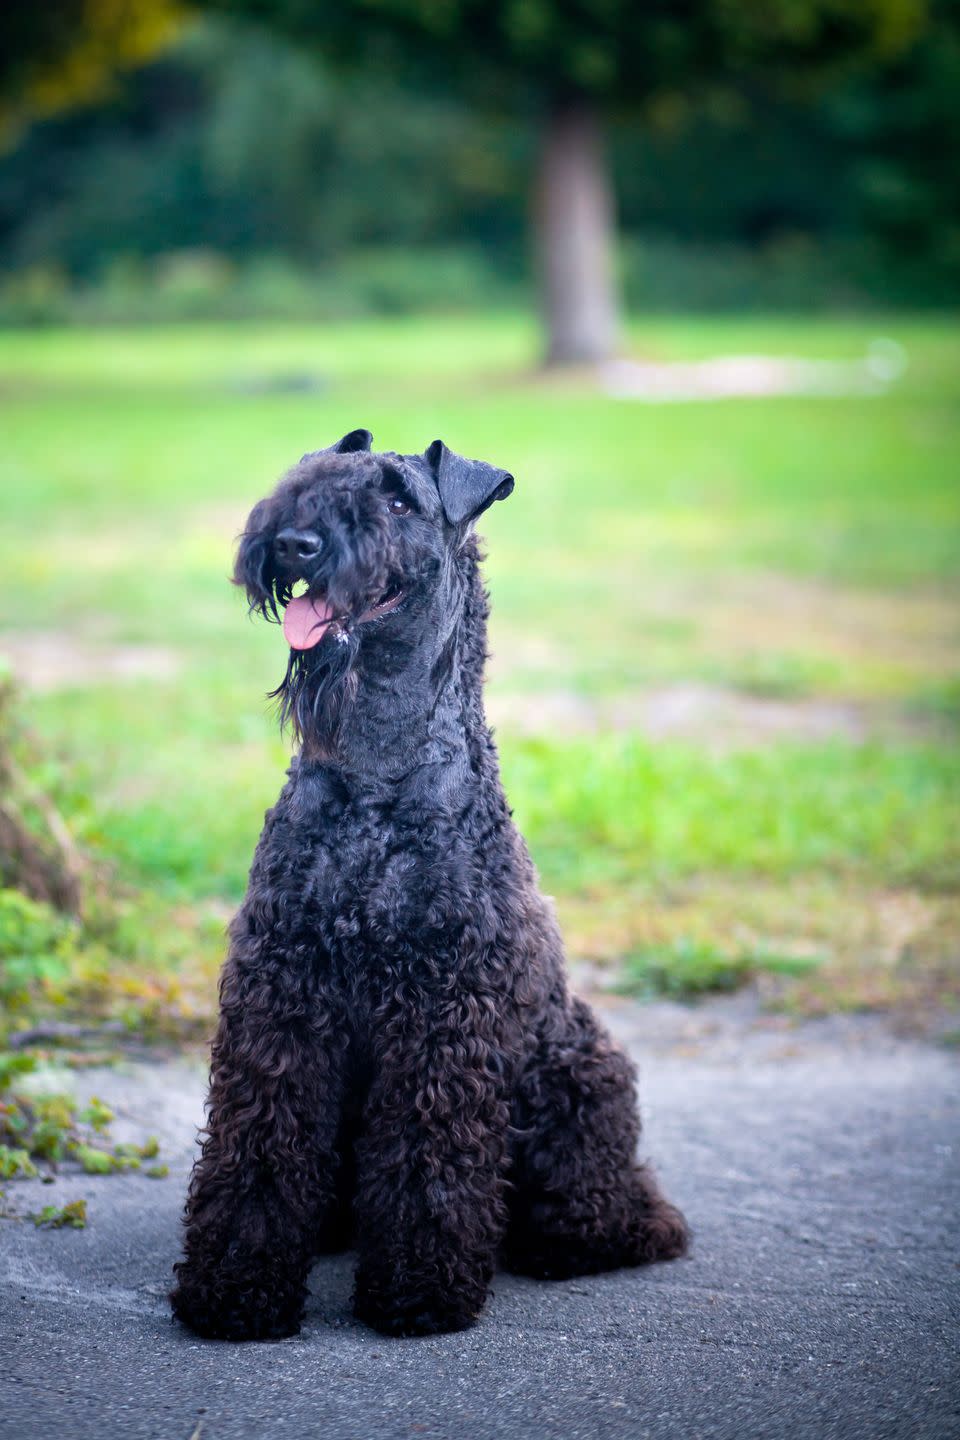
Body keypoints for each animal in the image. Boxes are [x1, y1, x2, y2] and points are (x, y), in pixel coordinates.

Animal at [169, 426, 687, 1336]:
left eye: (399, 499)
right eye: (311, 477)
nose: (294, 543)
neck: (376, 777)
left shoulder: (443, 1008)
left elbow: (427, 1153)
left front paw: (418, 1290)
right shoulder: (282, 991)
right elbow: (260, 1141)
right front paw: (235, 1285)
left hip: (577, 1072)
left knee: (622, 1206)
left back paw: (572, 1240)